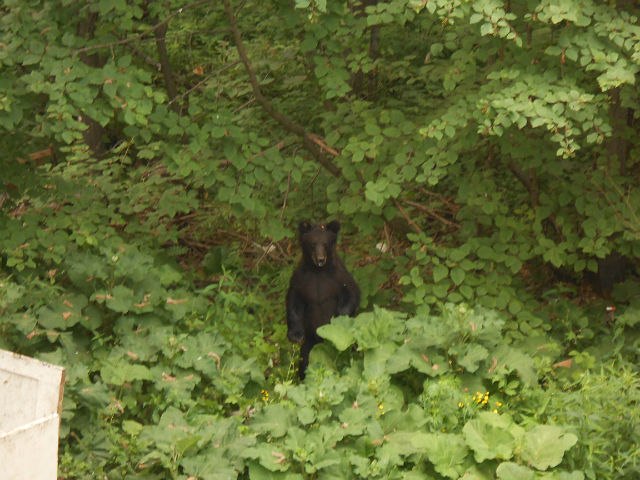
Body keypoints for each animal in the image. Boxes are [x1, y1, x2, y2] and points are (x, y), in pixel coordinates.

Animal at [286, 221, 360, 378]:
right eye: (313, 243)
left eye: (325, 243)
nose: (321, 259)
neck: (318, 271)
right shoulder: (301, 279)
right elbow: (294, 301)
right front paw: (295, 335)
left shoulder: (339, 277)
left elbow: (352, 294)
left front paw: (336, 322)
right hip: (311, 343)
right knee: (305, 358)